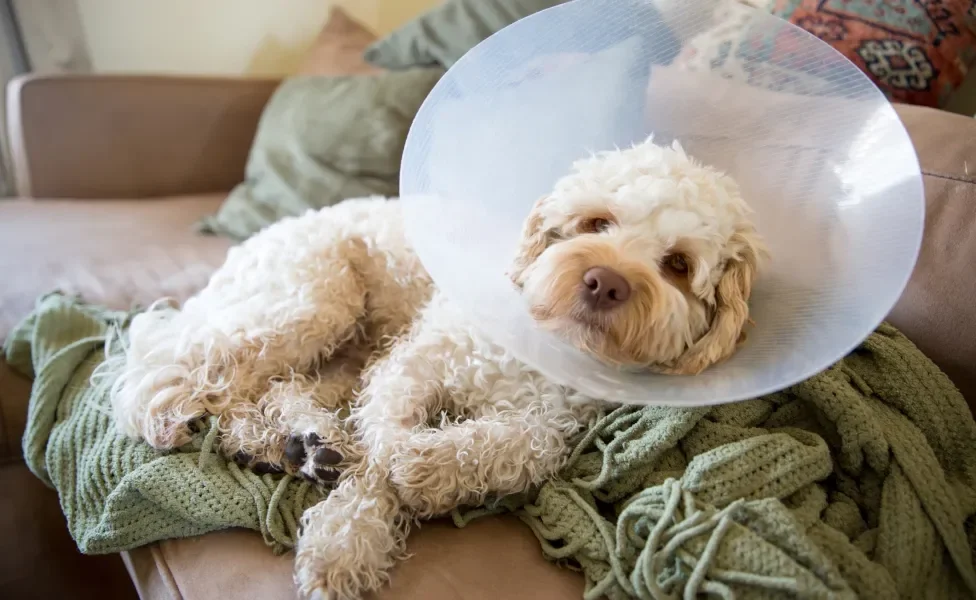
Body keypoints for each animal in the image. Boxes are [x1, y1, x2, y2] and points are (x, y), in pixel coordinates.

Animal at [105, 137, 764, 600]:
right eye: (597, 222)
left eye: (678, 265)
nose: (604, 281)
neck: (537, 348)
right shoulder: (413, 366)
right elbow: (379, 452)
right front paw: (346, 542)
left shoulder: (551, 423)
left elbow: (510, 447)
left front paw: (424, 469)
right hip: (311, 303)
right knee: (179, 371)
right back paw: (185, 418)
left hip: (345, 351)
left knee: (272, 390)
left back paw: (296, 442)